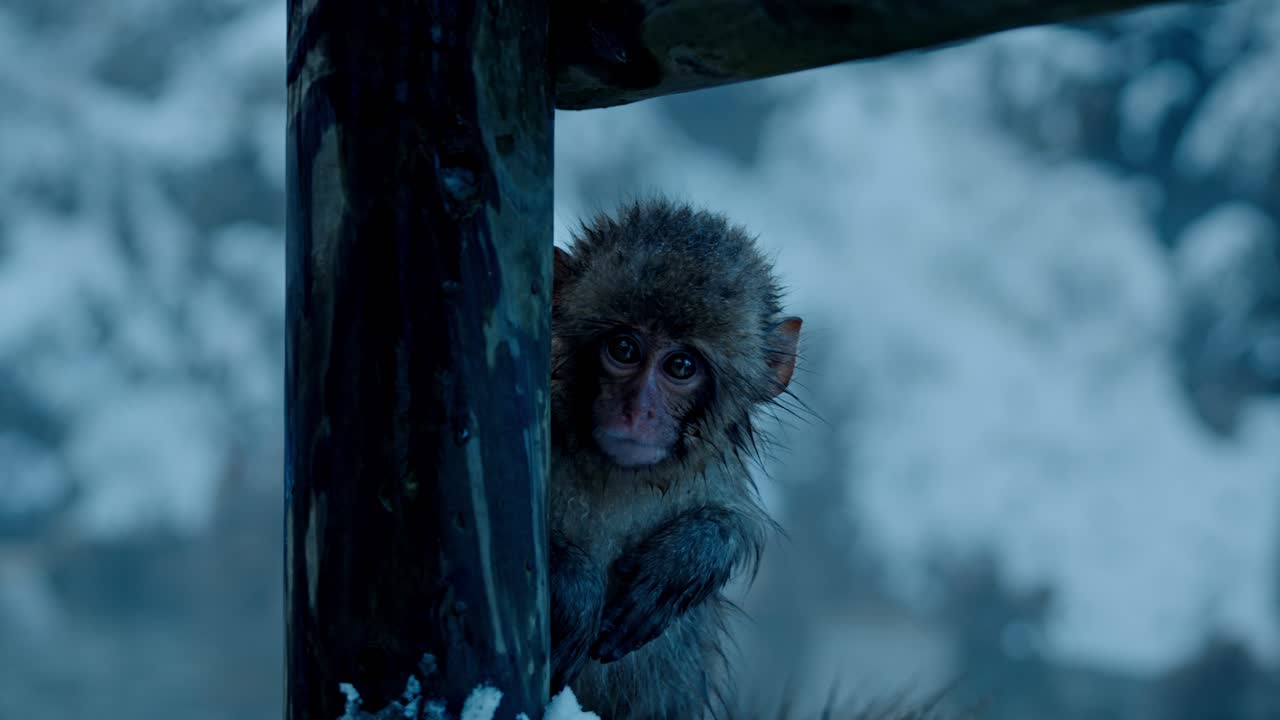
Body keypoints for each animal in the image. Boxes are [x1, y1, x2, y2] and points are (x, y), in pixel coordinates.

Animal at [549, 198, 802, 720]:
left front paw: (685, 560)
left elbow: (732, 518)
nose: (637, 411)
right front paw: (575, 584)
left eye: (680, 366)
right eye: (624, 349)